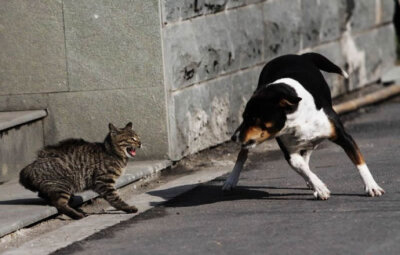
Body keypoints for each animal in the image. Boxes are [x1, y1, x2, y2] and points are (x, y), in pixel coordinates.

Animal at [225, 52, 384, 199]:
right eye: (244, 117)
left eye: (253, 118)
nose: (233, 137)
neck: (297, 119)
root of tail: (300, 55)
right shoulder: (290, 153)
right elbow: (302, 167)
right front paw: (319, 187)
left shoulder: (344, 137)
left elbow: (360, 162)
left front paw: (372, 186)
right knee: (243, 153)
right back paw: (230, 180)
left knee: (308, 151)